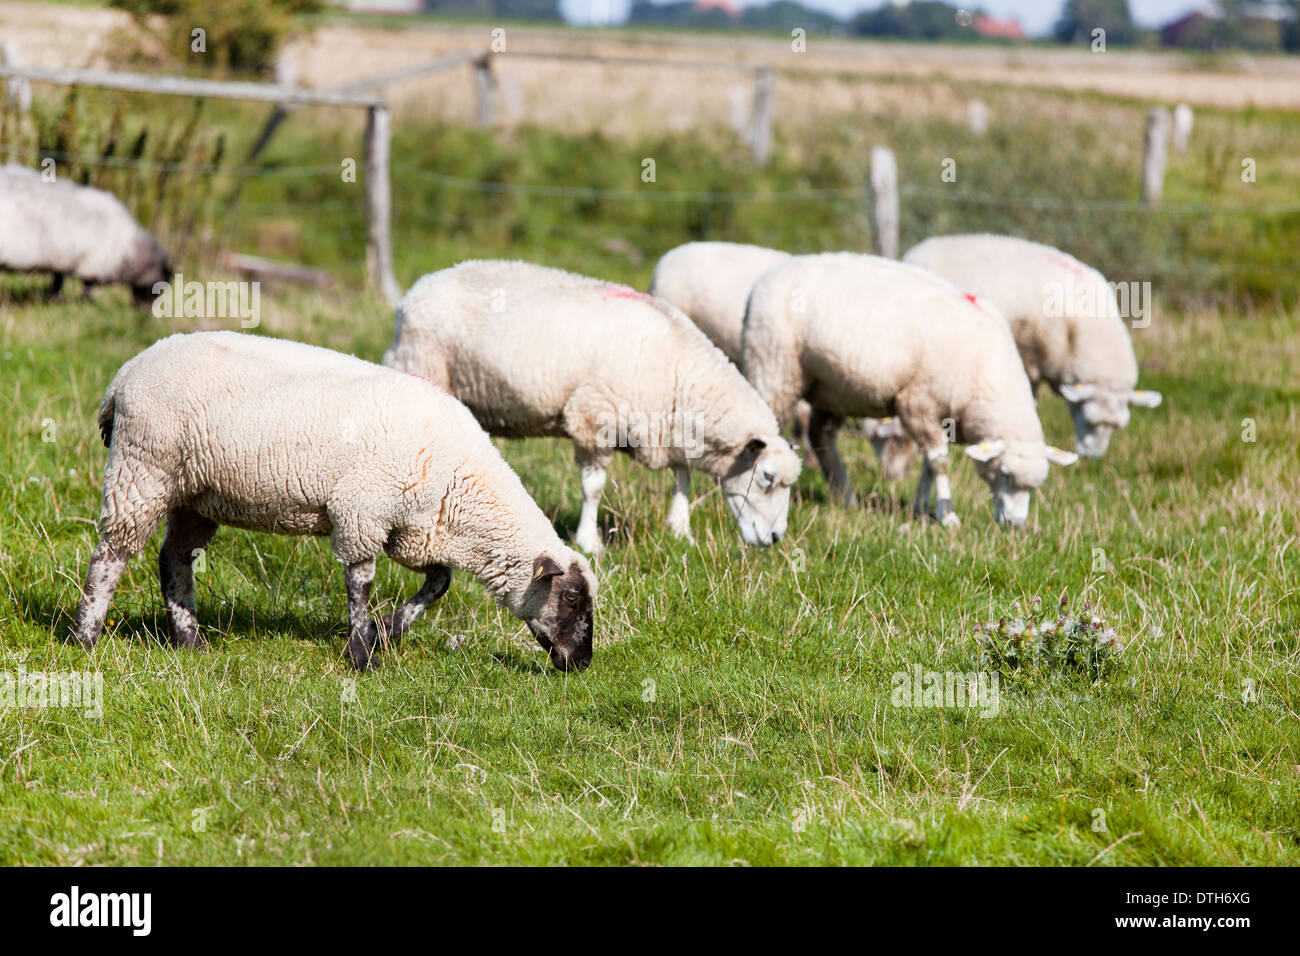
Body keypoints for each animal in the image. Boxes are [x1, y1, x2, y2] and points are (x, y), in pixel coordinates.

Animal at [0, 163, 170, 306]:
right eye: (158, 289)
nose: (145, 311)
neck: (127, 249)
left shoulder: (64, 261)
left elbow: (58, 281)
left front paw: (55, 299)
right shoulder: (92, 263)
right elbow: (86, 286)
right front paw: (86, 303)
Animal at [71, 329, 598, 671]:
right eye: (572, 598)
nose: (582, 663)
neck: (463, 485)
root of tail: (123, 376)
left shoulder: (409, 529)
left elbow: (440, 582)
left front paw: (388, 631)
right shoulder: (363, 513)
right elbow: (360, 583)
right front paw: (362, 655)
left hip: (196, 493)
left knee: (175, 558)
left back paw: (190, 642)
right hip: (143, 469)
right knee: (111, 555)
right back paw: (86, 637)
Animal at [379, 265, 795, 556]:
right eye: (767, 478)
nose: (776, 538)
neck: (680, 371)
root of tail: (413, 293)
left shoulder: (670, 428)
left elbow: (683, 478)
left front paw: (681, 531)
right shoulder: (594, 417)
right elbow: (594, 488)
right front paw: (589, 542)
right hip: (419, 368)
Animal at [743, 252, 1076, 530]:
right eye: (1005, 473)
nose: (1015, 524)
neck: (985, 380)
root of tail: (767, 276)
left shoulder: (942, 417)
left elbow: (928, 465)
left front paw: (920, 507)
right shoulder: (918, 403)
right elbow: (939, 462)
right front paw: (948, 516)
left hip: (832, 388)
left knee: (821, 436)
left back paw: (845, 497)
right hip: (774, 367)